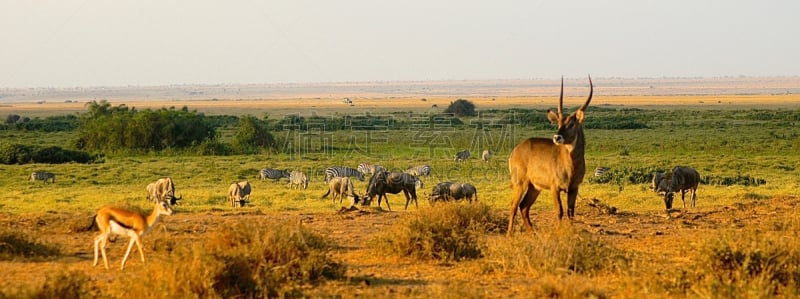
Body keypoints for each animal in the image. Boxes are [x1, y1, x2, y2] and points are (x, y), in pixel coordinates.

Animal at [506, 76, 592, 238]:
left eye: (571, 123)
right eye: (558, 123)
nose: (557, 137)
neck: (571, 165)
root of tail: (517, 149)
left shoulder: (574, 188)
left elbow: (571, 212)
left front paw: (572, 233)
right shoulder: (555, 188)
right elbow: (559, 211)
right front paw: (558, 233)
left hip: (534, 187)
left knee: (524, 206)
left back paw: (533, 234)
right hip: (520, 183)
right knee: (514, 205)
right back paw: (509, 235)